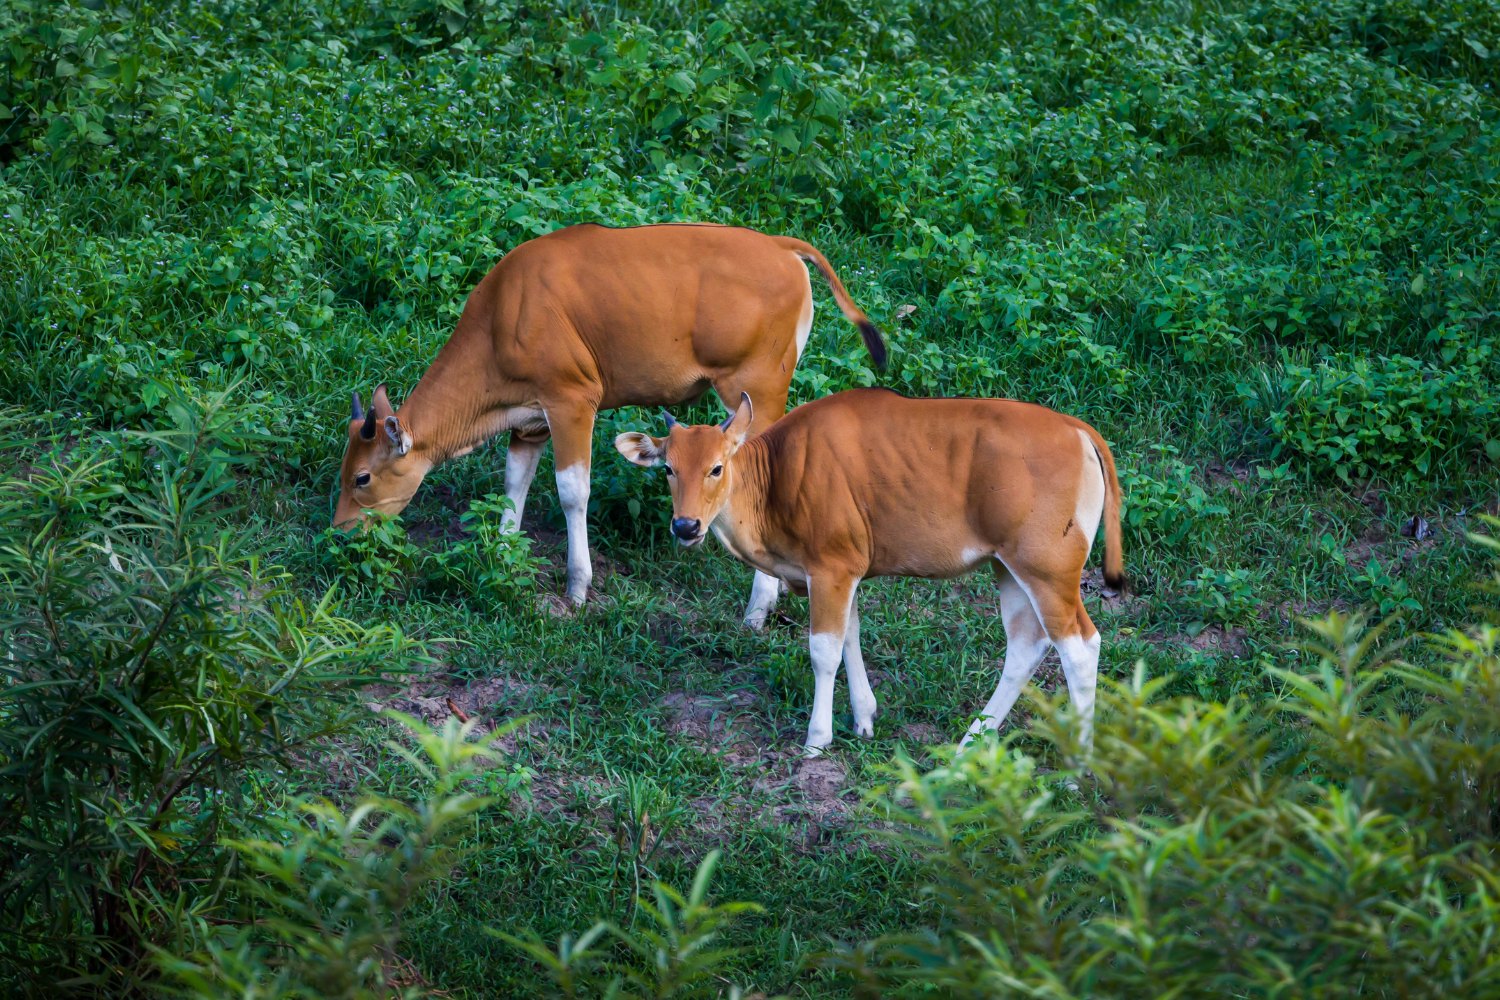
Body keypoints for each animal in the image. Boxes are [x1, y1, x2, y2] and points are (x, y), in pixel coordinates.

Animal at [334, 222, 885, 615]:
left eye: (362, 477)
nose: (338, 531)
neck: (502, 320)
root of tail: (781, 246)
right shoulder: (529, 420)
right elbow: (513, 485)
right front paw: (502, 556)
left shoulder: (573, 400)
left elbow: (571, 492)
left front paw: (577, 587)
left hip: (758, 391)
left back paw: (757, 608)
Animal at [614, 388, 1124, 755]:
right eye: (668, 469)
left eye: (717, 467)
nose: (686, 526)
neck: (777, 476)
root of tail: (1078, 429)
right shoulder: (845, 571)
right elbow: (852, 635)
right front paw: (864, 717)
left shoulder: (830, 568)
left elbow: (823, 651)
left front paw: (817, 740)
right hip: (1007, 567)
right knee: (1025, 646)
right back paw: (969, 743)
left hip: (1047, 570)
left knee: (1080, 647)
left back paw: (1077, 767)